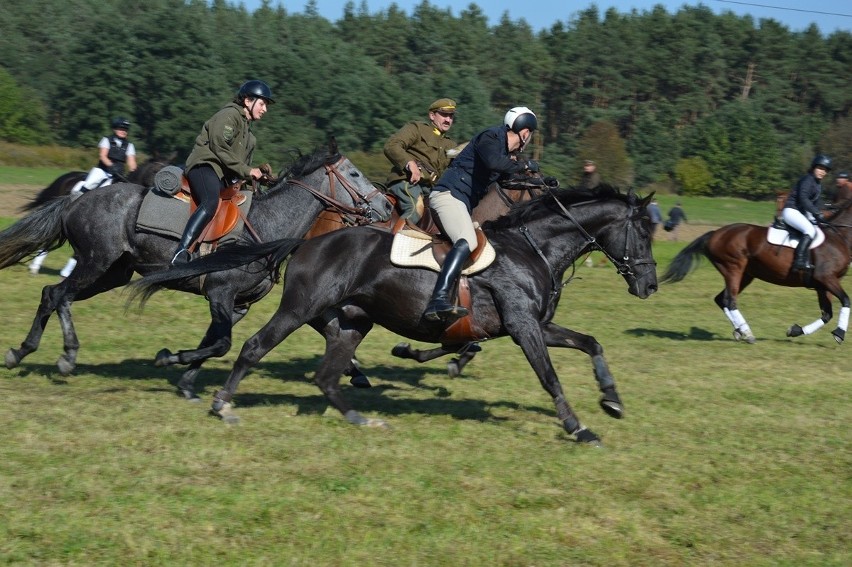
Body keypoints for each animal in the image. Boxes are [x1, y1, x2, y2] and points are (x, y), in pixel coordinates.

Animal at [0, 141, 392, 394]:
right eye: (354, 173)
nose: (387, 207)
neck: (267, 225)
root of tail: (77, 199)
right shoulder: (220, 293)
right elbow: (221, 344)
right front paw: (169, 360)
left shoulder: (238, 304)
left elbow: (214, 342)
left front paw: (186, 380)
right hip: (96, 262)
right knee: (61, 295)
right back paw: (67, 354)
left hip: (113, 273)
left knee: (52, 294)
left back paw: (21, 352)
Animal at [131, 186, 660, 444]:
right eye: (644, 233)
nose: (650, 286)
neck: (533, 248)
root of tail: (307, 240)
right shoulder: (524, 327)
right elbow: (550, 377)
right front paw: (578, 428)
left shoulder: (537, 326)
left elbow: (591, 342)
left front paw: (611, 400)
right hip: (301, 308)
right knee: (253, 347)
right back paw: (221, 403)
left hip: (352, 321)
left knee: (327, 375)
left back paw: (361, 419)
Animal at [660, 187, 852, 346]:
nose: (777, 217)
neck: (839, 236)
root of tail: (715, 233)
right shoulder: (826, 278)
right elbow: (846, 300)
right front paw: (839, 333)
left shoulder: (822, 285)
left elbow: (827, 314)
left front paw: (795, 330)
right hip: (733, 269)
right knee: (730, 300)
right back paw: (748, 334)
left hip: (746, 275)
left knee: (721, 299)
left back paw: (740, 331)